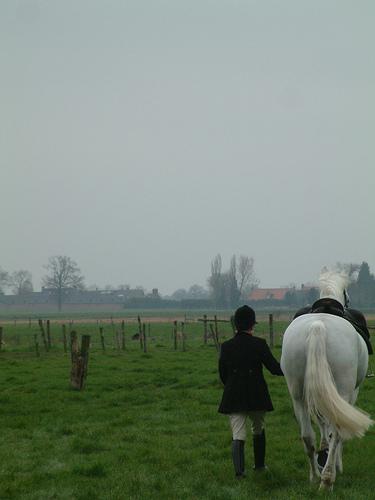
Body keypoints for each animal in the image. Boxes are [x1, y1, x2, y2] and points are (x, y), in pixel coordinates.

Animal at [282, 270, 374, 488]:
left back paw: (315, 476)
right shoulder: (351, 393)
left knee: (307, 435)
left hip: (298, 394)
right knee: (337, 431)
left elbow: (323, 424)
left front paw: (322, 453)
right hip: (344, 391)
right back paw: (328, 478)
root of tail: (318, 327)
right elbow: (335, 433)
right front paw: (336, 463)